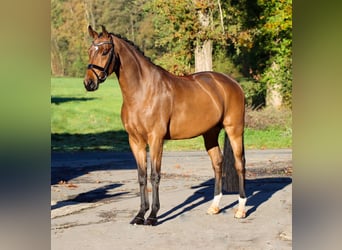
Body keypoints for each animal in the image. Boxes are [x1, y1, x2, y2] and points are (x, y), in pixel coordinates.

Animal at [84, 25, 247, 227]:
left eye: (105, 51)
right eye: (89, 51)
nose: (89, 83)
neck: (143, 91)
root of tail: (233, 83)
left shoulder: (156, 139)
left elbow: (155, 175)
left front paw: (153, 216)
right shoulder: (135, 141)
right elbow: (141, 176)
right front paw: (140, 215)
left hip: (235, 129)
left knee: (240, 164)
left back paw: (241, 210)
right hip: (210, 133)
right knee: (217, 162)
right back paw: (214, 207)